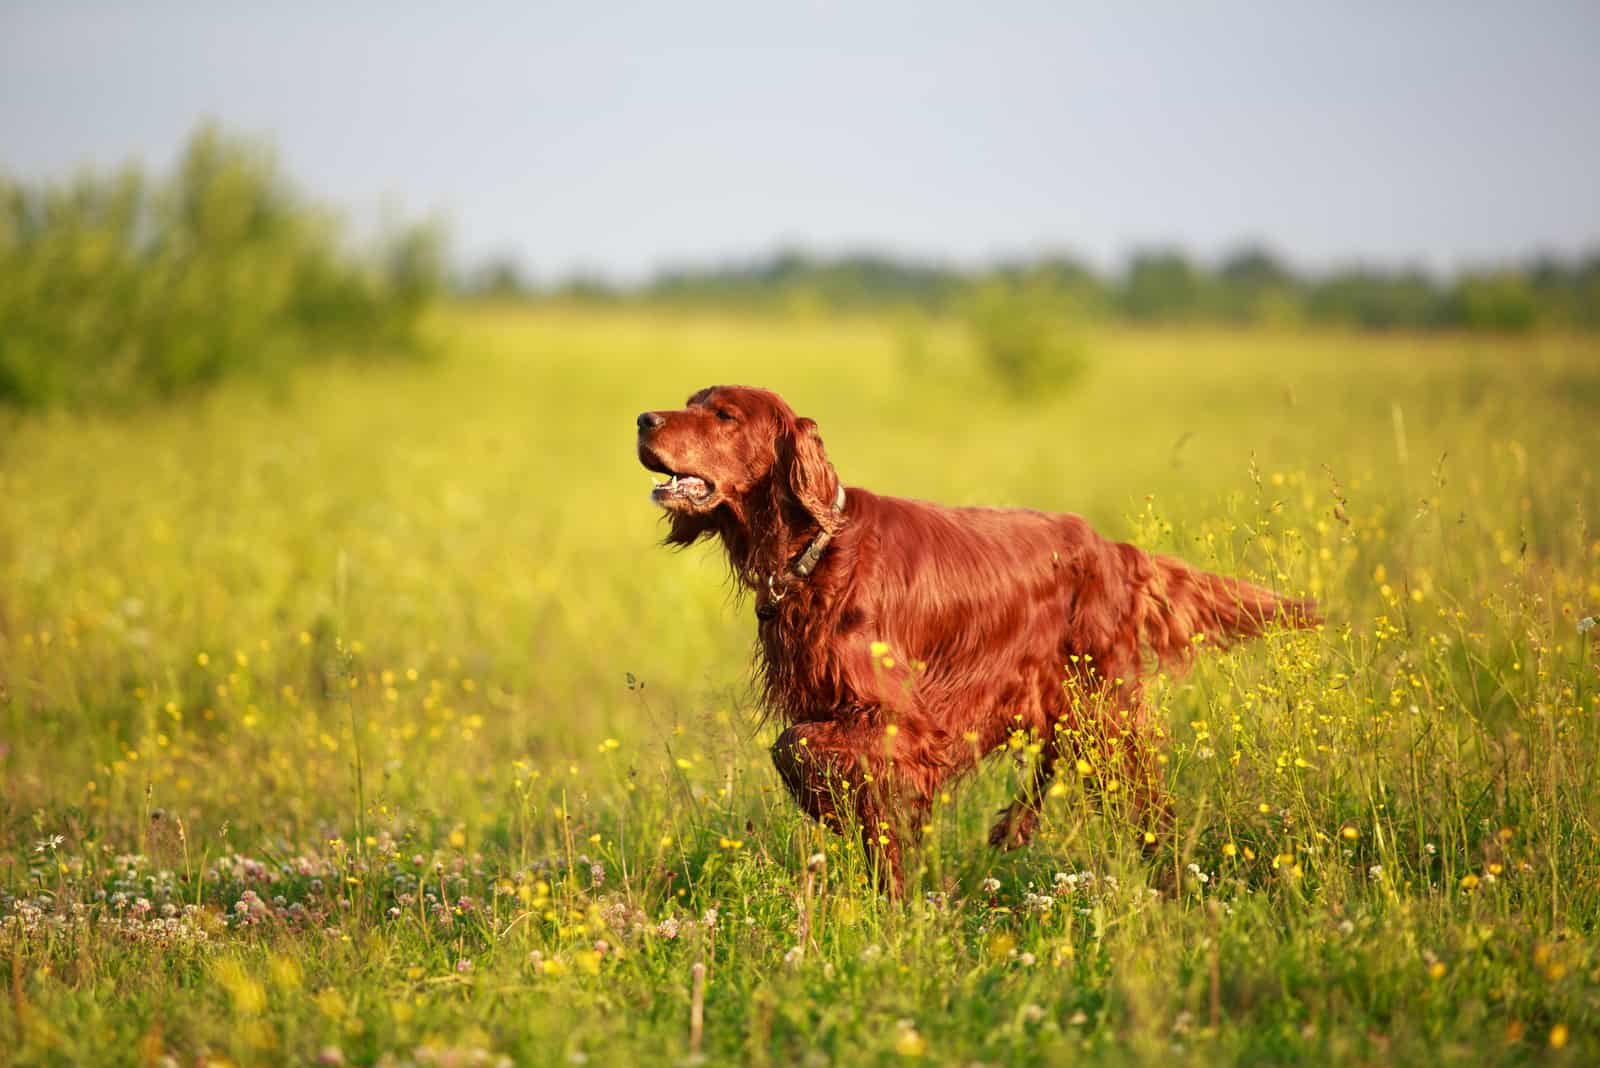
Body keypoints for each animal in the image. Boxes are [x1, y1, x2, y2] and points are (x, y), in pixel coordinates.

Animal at [630, 383, 1318, 895]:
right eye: (690, 402)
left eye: (723, 415)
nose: (642, 418)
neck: (816, 550)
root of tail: (1111, 548)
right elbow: (819, 767)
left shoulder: (908, 724)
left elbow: (796, 747)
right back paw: (1016, 828)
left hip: (1106, 706)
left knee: (1146, 802)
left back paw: (1170, 880)